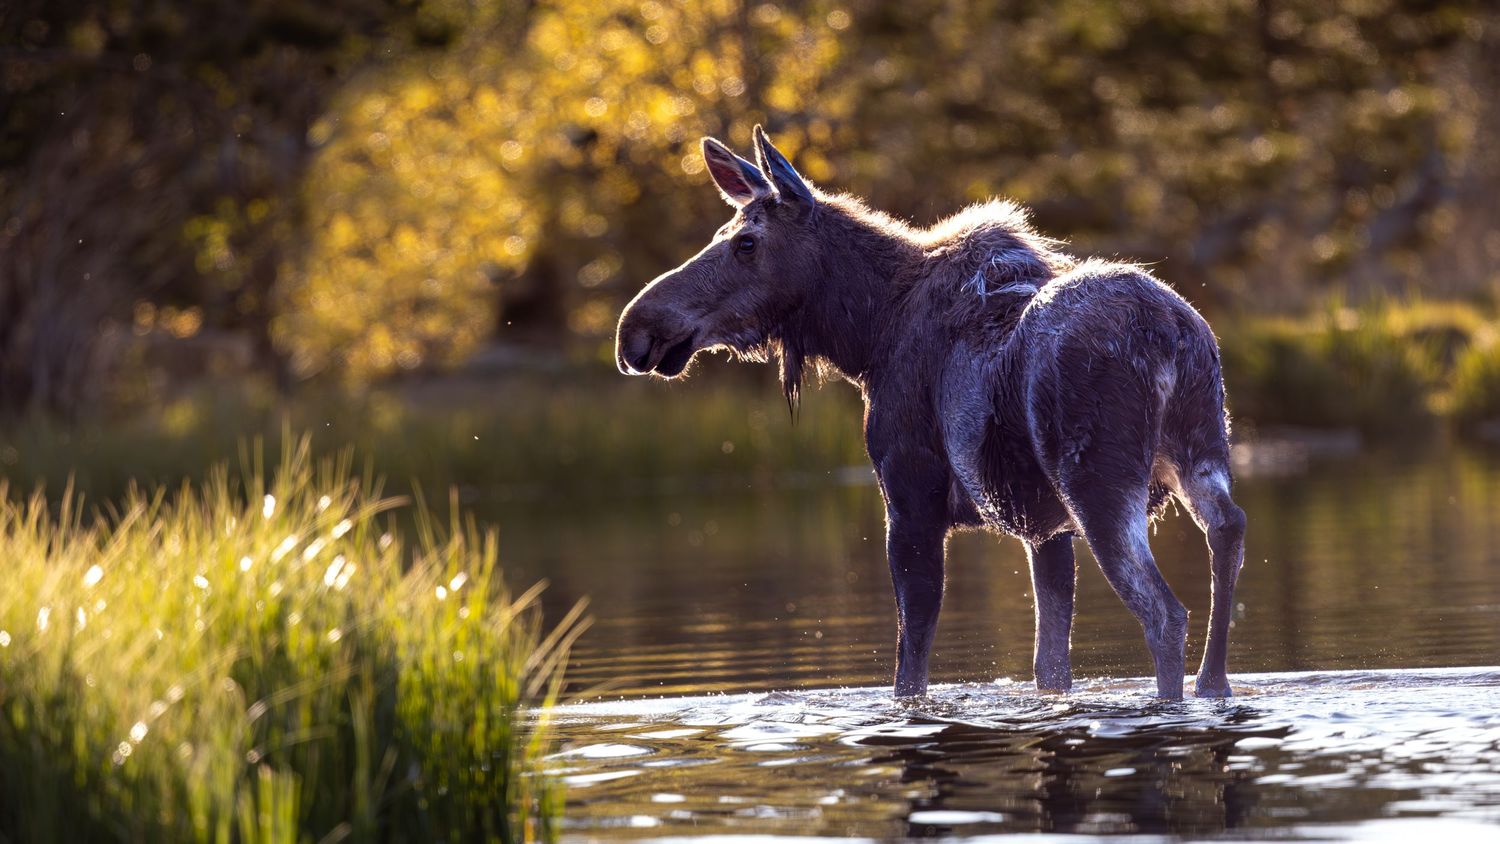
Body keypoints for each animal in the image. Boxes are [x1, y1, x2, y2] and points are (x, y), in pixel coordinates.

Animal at [615, 127, 1247, 700]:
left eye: (745, 242)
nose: (635, 330)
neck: (865, 336)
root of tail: (1169, 338)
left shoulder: (909, 494)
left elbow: (910, 665)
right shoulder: (1043, 527)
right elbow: (1050, 666)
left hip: (1099, 485)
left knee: (1164, 613)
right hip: (1201, 452)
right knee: (1228, 531)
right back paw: (1212, 685)